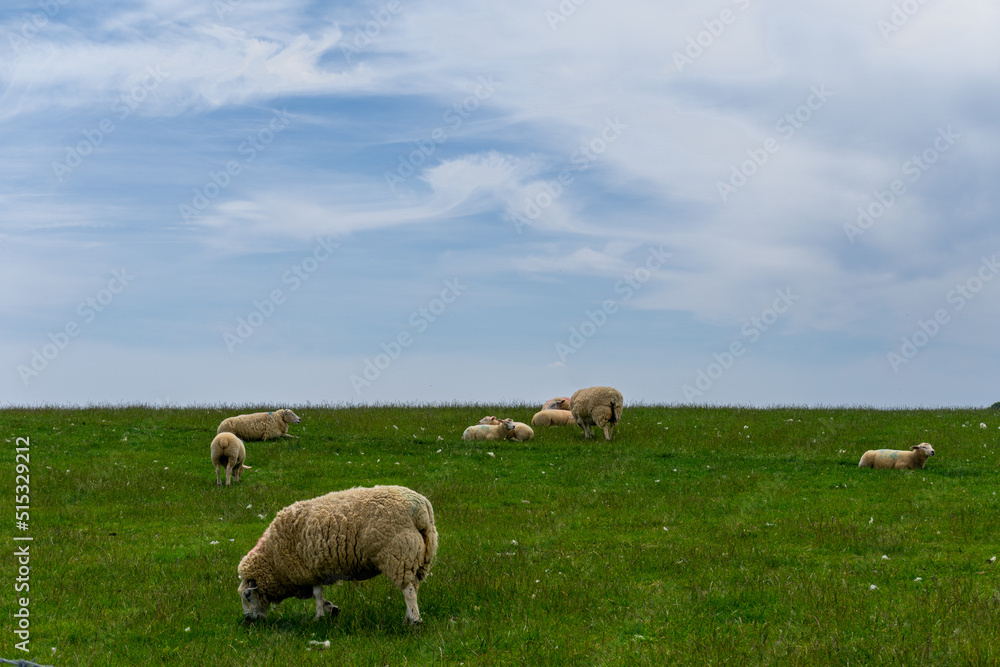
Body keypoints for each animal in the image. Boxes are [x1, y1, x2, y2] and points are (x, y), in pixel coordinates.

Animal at [238, 486, 438, 628]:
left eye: (247, 595)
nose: (248, 620)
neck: (273, 559)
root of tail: (421, 507)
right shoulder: (312, 573)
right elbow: (317, 596)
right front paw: (331, 609)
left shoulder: (309, 570)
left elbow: (317, 595)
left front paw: (318, 617)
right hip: (420, 556)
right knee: (414, 587)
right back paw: (408, 618)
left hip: (399, 554)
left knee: (408, 590)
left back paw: (415, 621)